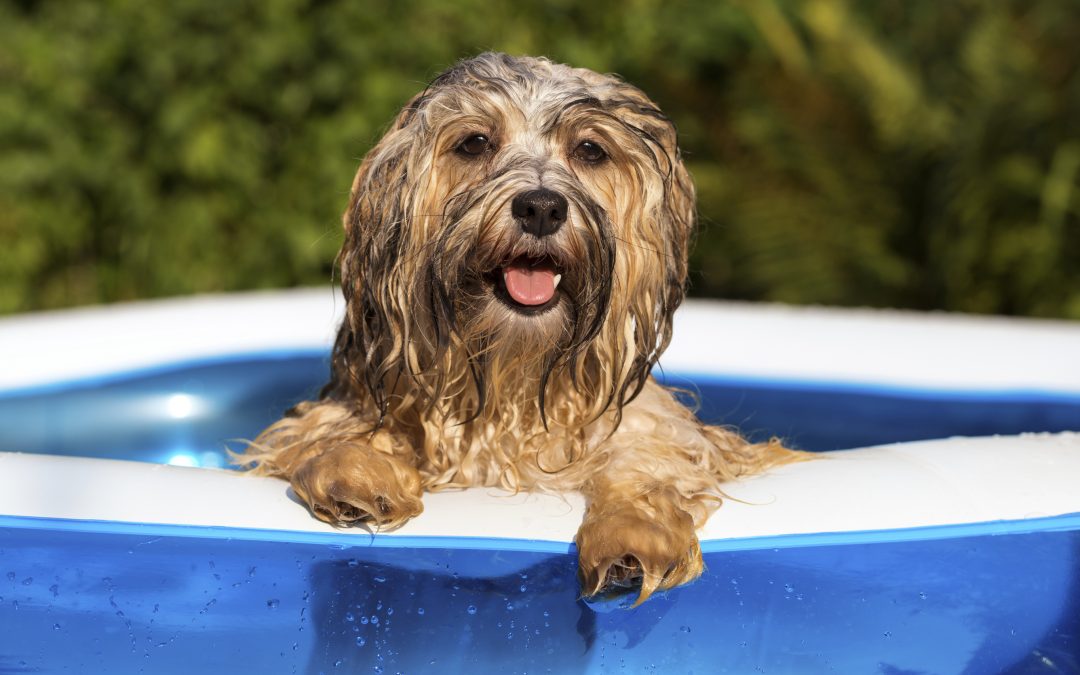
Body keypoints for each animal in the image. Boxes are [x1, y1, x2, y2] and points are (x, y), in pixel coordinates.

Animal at [240, 51, 799, 600]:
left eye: (590, 149)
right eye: (474, 142)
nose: (541, 206)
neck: (511, 374)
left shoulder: (655, 429)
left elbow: (646, 457)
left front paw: (633, 533)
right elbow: (326, 432)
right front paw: (353, 473)